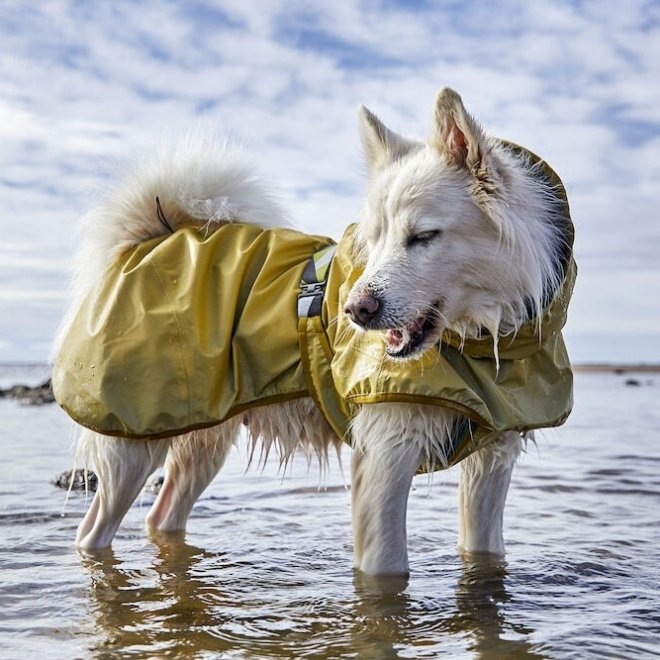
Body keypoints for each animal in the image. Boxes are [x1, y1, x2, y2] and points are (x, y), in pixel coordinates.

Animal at [54, 90, 576, 576]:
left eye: (424, 236)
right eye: (375, 238)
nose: (355, 311)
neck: (488, 338)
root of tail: (149, 237)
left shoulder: (492, 460)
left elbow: (485, 555)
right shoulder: (384, 455)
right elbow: (387, 570)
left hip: (202, 437)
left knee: (161, 517)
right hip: (132, 438)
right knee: (93, 530)